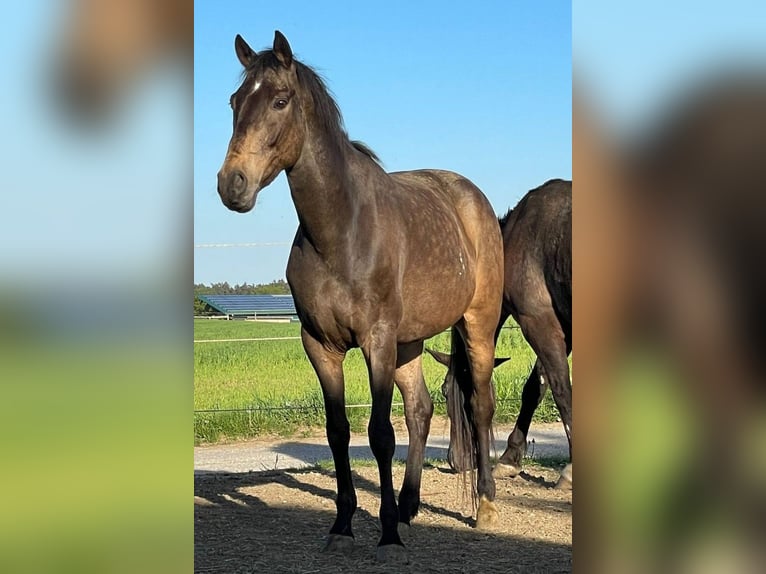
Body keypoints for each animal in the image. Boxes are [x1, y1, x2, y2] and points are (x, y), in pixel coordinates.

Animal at [216, 30, 508, 564]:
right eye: (234, 101)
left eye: (280, 101)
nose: (232, 184)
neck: (342, 230)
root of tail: (471, 196)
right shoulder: (320, 345)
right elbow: (338, 434)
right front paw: (344, 525)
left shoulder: (376, 341)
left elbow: (378, 434)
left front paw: (387, 533)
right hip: (410, 342)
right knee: (420, 411)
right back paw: (411, 506)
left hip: (475, 324)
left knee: (479, 406)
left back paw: (486, 506)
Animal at [428, 181, 572, 490]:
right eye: (445, 391)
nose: (457, 460)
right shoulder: (560, 328)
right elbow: (534, 388)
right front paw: (509, 459)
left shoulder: (539, 321)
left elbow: (560, 389)